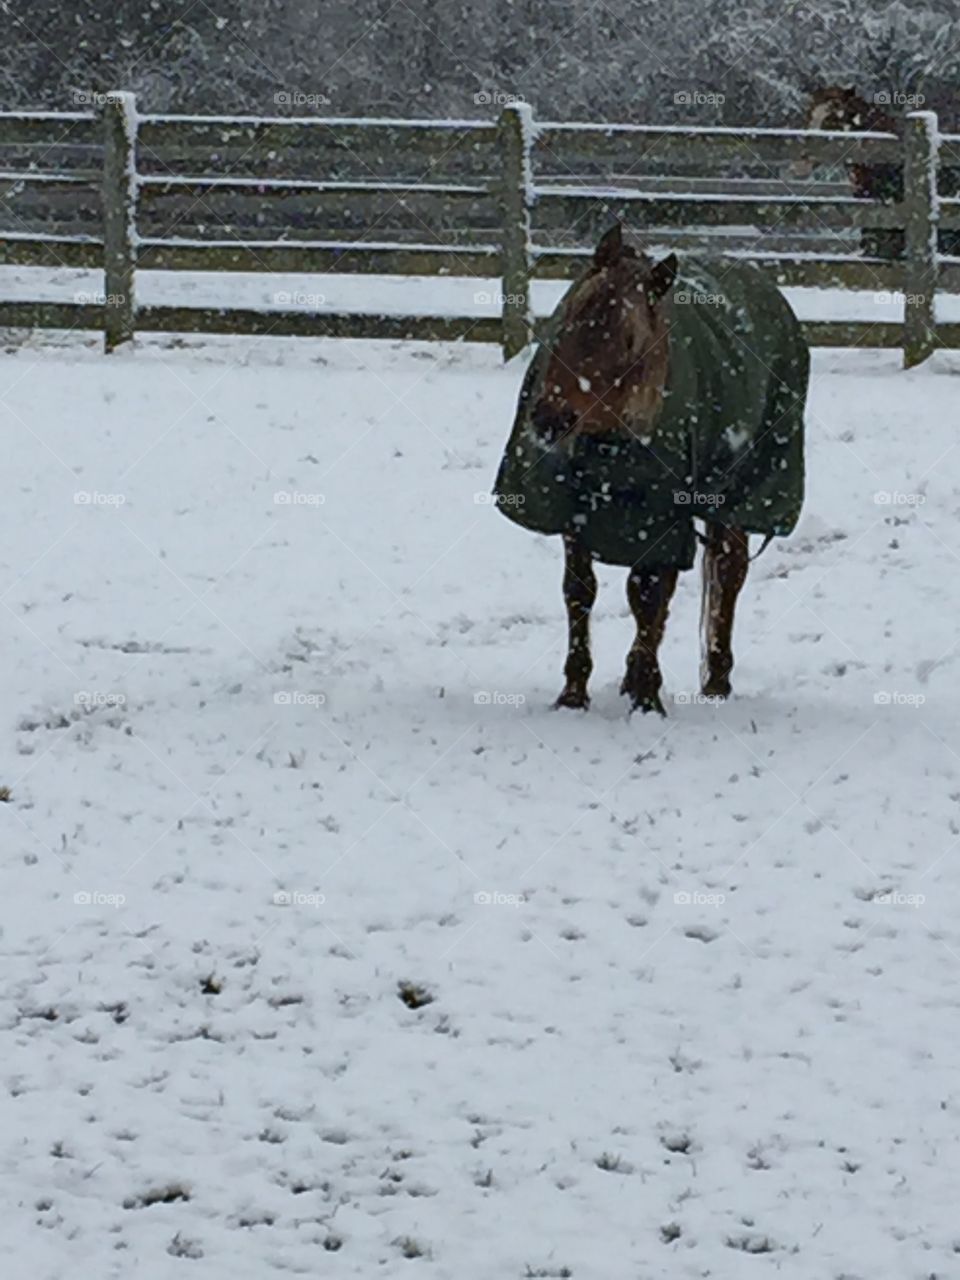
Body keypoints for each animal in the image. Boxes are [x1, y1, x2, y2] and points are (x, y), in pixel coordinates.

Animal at [493, 223, 809, 715]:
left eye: (629, 341)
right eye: (570, 316)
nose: (549, 418)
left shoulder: (661, 517)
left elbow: (648, 594)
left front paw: (646, 698)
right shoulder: (573, 511)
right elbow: (580, 592)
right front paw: (574, 694)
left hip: (734, 499)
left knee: (728, 573)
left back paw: (716, 682)